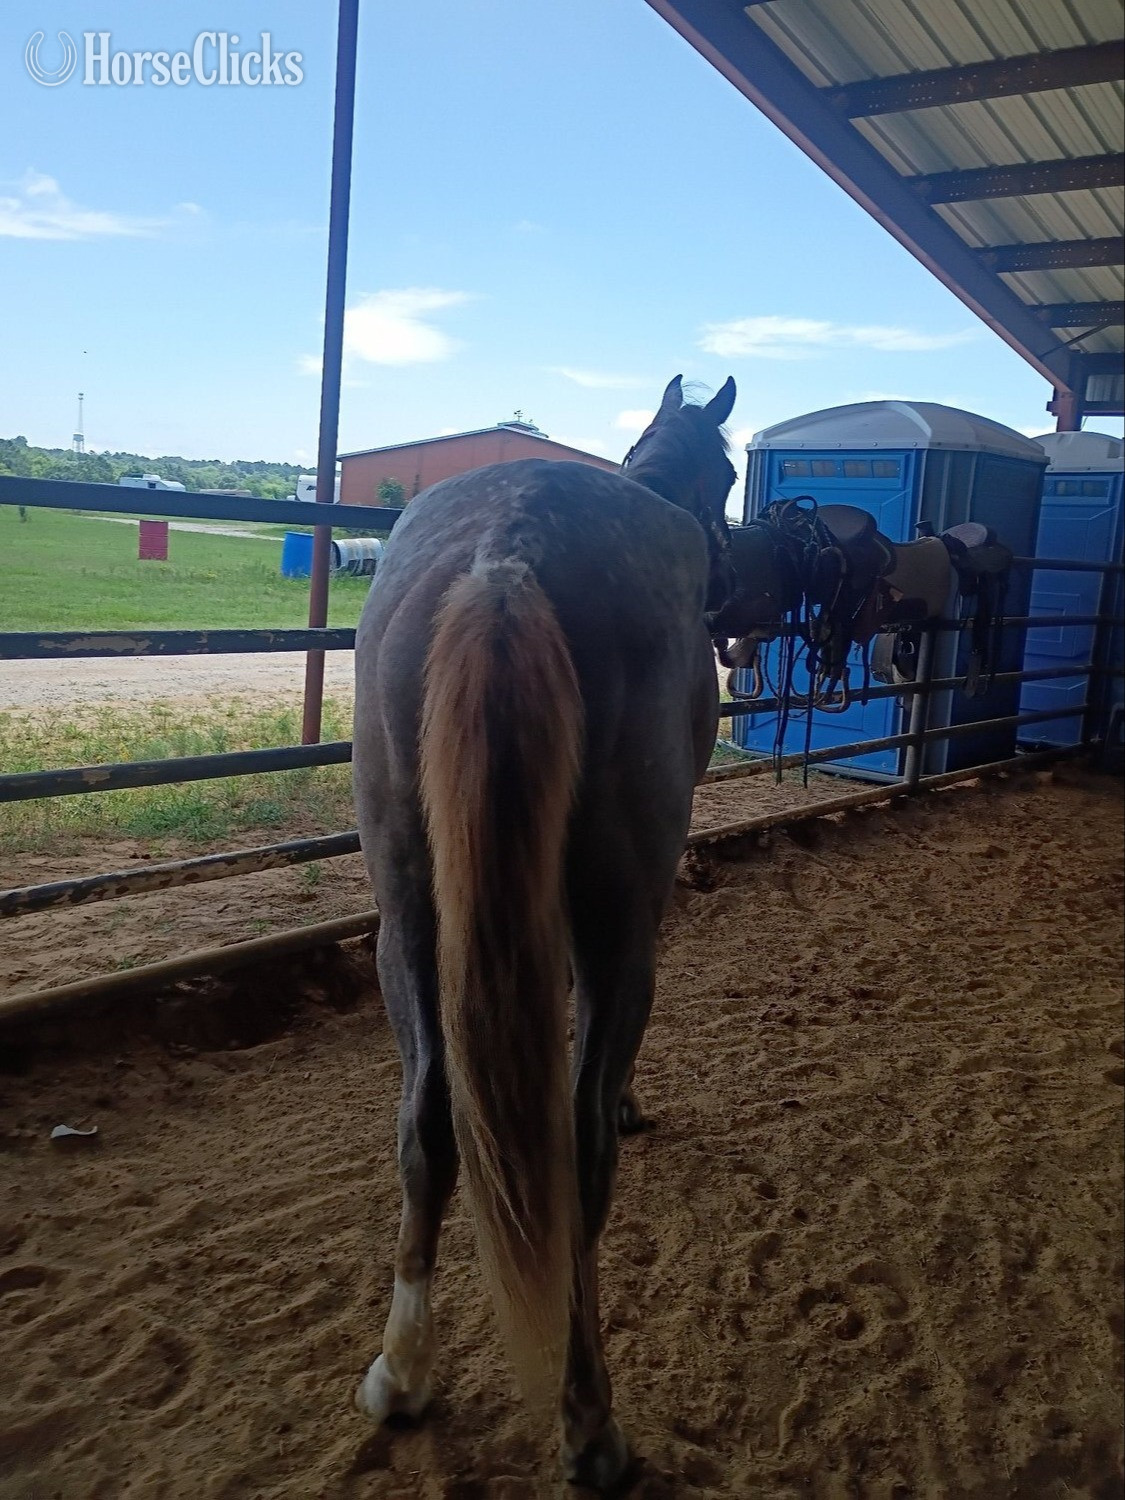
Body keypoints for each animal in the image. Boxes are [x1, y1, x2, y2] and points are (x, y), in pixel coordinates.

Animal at [350, 374, 737, 1488]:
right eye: (728, 472)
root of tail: (505, 557)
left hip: (410, 919)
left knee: (426, 1122)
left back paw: (402, 1372)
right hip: (617, 926)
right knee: (577, 1139)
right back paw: (588, 1418)